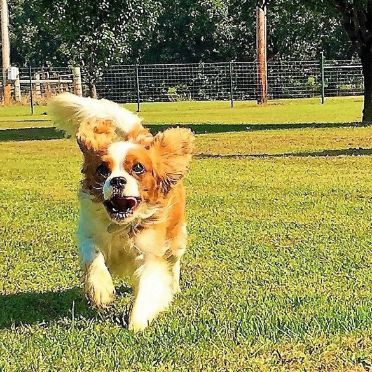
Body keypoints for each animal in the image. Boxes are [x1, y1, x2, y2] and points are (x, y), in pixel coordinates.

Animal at [48, 93, 195, 332]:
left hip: (176, 239)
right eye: (102, 170)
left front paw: (136, 322)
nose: (117, 180)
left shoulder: (150, 253)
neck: (121, 225)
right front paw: (100, 291)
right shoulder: (88, 232)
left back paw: (174, 285)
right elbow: (93, 257)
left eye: (138, 168)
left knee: (174, 262)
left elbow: (148, 287)